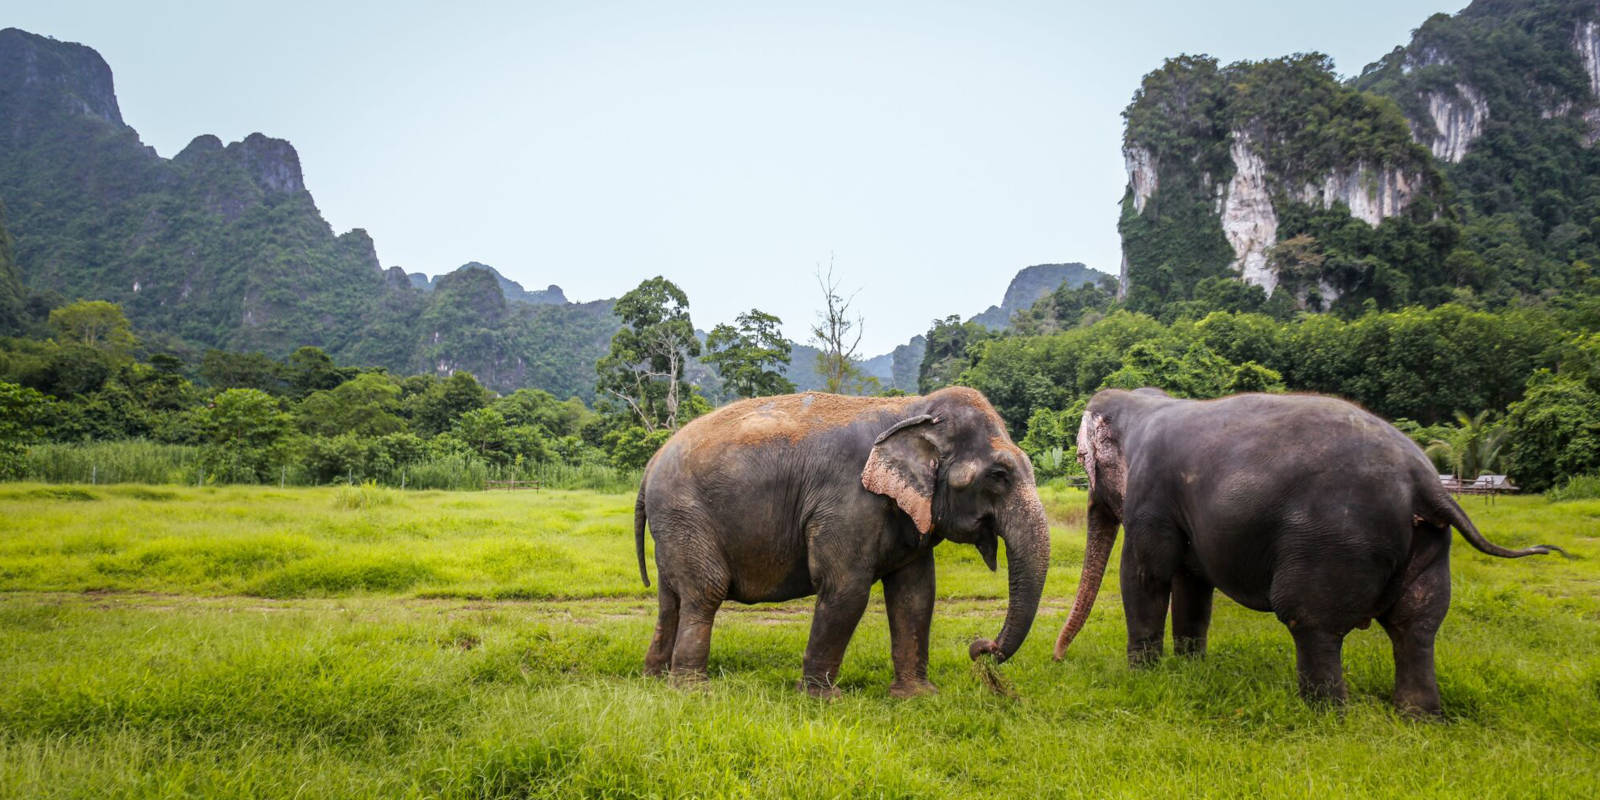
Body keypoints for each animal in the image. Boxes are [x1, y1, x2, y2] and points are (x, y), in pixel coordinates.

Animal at [633, 386, 1051, 697]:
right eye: (998, 475)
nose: (982, 648)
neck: (912, 409)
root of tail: (651, 463)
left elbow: (916, 593)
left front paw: (917, 696)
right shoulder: (847, 500)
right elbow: (845, 587)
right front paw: (821, 699)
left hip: (673, 527)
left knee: (671, 600)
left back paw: (654, 679)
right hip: (684, 514)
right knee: (705, 593)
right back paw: (693, 692)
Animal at [1053, 388, 1563, 715]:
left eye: (1080, 459)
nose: (1057, 659)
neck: (1144, 403)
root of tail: (1426, 480)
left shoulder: (1150, 496)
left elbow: (1146, 575)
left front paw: (1142, 676)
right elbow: (1193, 584)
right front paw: (1188, 669)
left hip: (1332, 541)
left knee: (1310, 620)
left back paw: (1325, 715)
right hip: (1429, 544)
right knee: (1417, 626)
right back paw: (1417, 716)